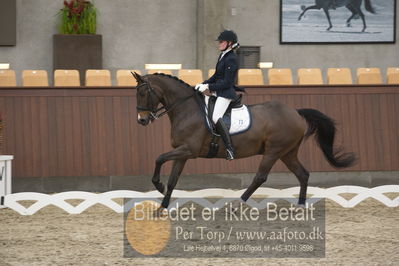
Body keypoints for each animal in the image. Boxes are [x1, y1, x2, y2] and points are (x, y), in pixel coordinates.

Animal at [133, 72, 358, 210]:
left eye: (143, 93)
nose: (141, 120)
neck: (187, 109)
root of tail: (295, 112)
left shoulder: (188, 150)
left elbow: (159, 158)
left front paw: (158, 186)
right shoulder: (182, 152)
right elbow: (173, 179)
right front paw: (162, 207)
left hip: (274, 151)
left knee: (260, 177)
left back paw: (237, 205)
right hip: (287, 152)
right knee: (303, 174)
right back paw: (300, 207)